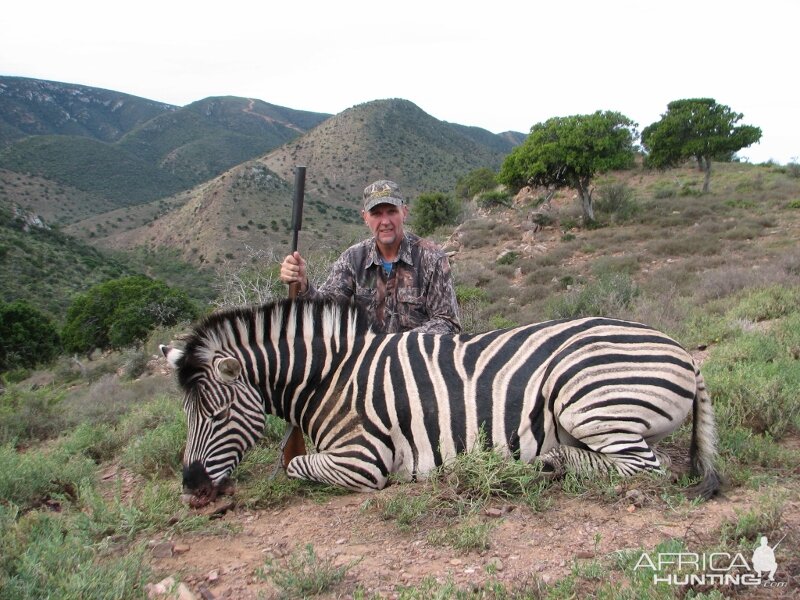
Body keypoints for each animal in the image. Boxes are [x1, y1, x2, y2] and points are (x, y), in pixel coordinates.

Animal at [159, 298, 720, 504]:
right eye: (185, 416)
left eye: (217, 414)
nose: (190, 489)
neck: (329, 377)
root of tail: (685, 354)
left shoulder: (362, 459)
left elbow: (293, 465)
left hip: (583, 395)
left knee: (645, 467)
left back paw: (547, 463)